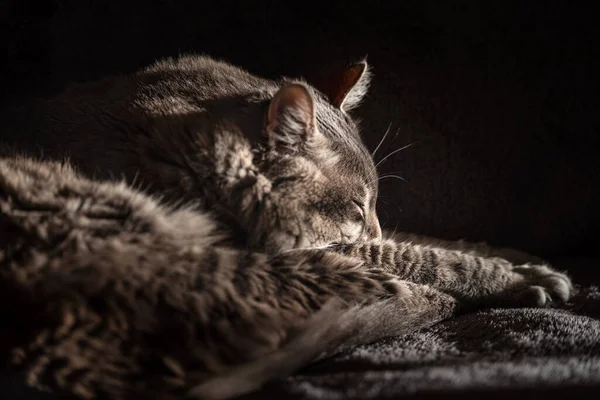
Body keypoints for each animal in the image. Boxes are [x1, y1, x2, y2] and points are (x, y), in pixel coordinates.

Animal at [0, 55, 572, 400]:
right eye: (357, 208)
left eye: (374, 205)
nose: (372, 229)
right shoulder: (325, 248)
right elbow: (419, 255)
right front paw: (515, 276)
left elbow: (424, 238)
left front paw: (513, 253)